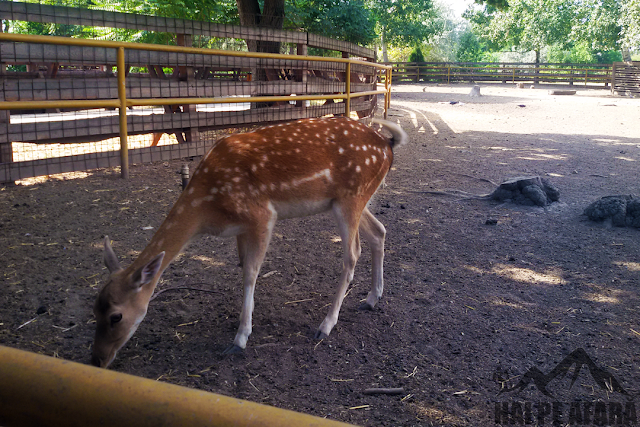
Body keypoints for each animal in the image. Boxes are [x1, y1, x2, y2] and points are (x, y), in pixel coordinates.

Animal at [92, 116, 408, 368]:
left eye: (116, 316)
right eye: (94, 309)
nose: (98, 359)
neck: (207, 208)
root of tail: (388, 144)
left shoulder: (262, 215)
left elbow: (250, 273)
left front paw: (240, 338)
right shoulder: (242, 229)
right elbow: (242, 265)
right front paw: (242, 323)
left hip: (351, 197)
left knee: (352, 254)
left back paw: (326, 324)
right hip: (353, 199)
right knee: (379, 231)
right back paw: (371, 299)